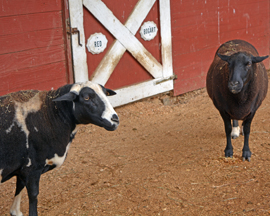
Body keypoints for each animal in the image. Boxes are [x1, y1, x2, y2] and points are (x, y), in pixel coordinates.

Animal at [0, 81, 118, 216]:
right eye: (87, 98)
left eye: (106, 94)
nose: (115, 120)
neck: (50, 115)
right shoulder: (32, 167)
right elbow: (33, 196)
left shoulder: (22, 167)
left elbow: (19, 185)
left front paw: (15, 211)